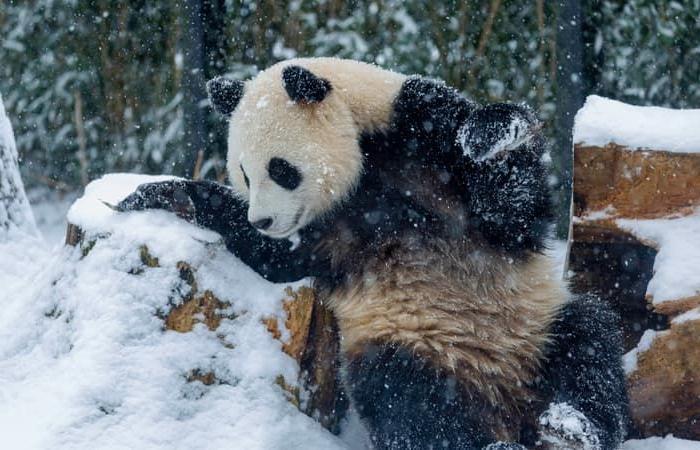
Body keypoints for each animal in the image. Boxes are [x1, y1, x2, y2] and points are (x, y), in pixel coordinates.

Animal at [120, 58, 628, 448]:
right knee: (408, 399)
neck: (366, 164)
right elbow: (278, 257)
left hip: (531, 326)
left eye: (280, 169)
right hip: (410, 342)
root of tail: (502, 402)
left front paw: (489, 135)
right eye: (243, 173)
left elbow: (513, 209)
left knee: (588, 346)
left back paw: (573, 427)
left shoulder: (418, 127)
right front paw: (158, 194)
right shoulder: (324, 233)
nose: (262, 219)